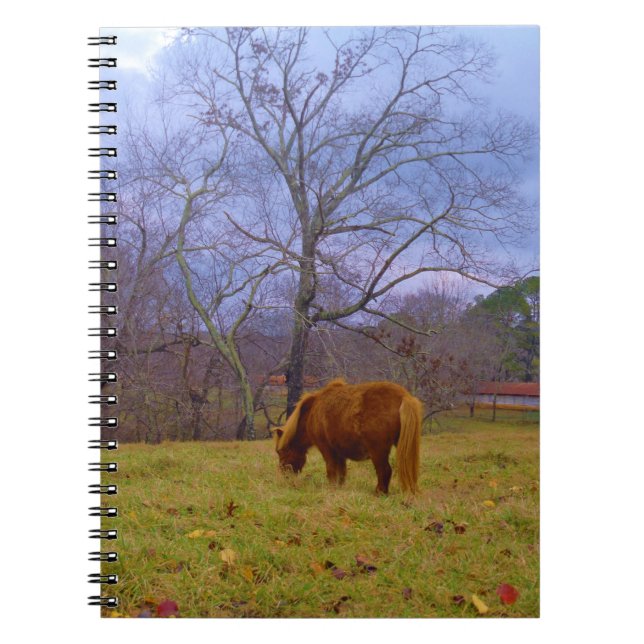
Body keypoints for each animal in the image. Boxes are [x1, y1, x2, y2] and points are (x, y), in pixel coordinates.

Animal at [272, 379, 423, 494]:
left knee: (384, 471)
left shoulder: (327, 450)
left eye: (280, 451)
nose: (285, 475)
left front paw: (331, 489)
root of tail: (404, 396)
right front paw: (339, 488)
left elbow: (331, 471)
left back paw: (379, 493)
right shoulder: (339, 453)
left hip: (378, 451)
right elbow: (341, 473)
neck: (312, 412)